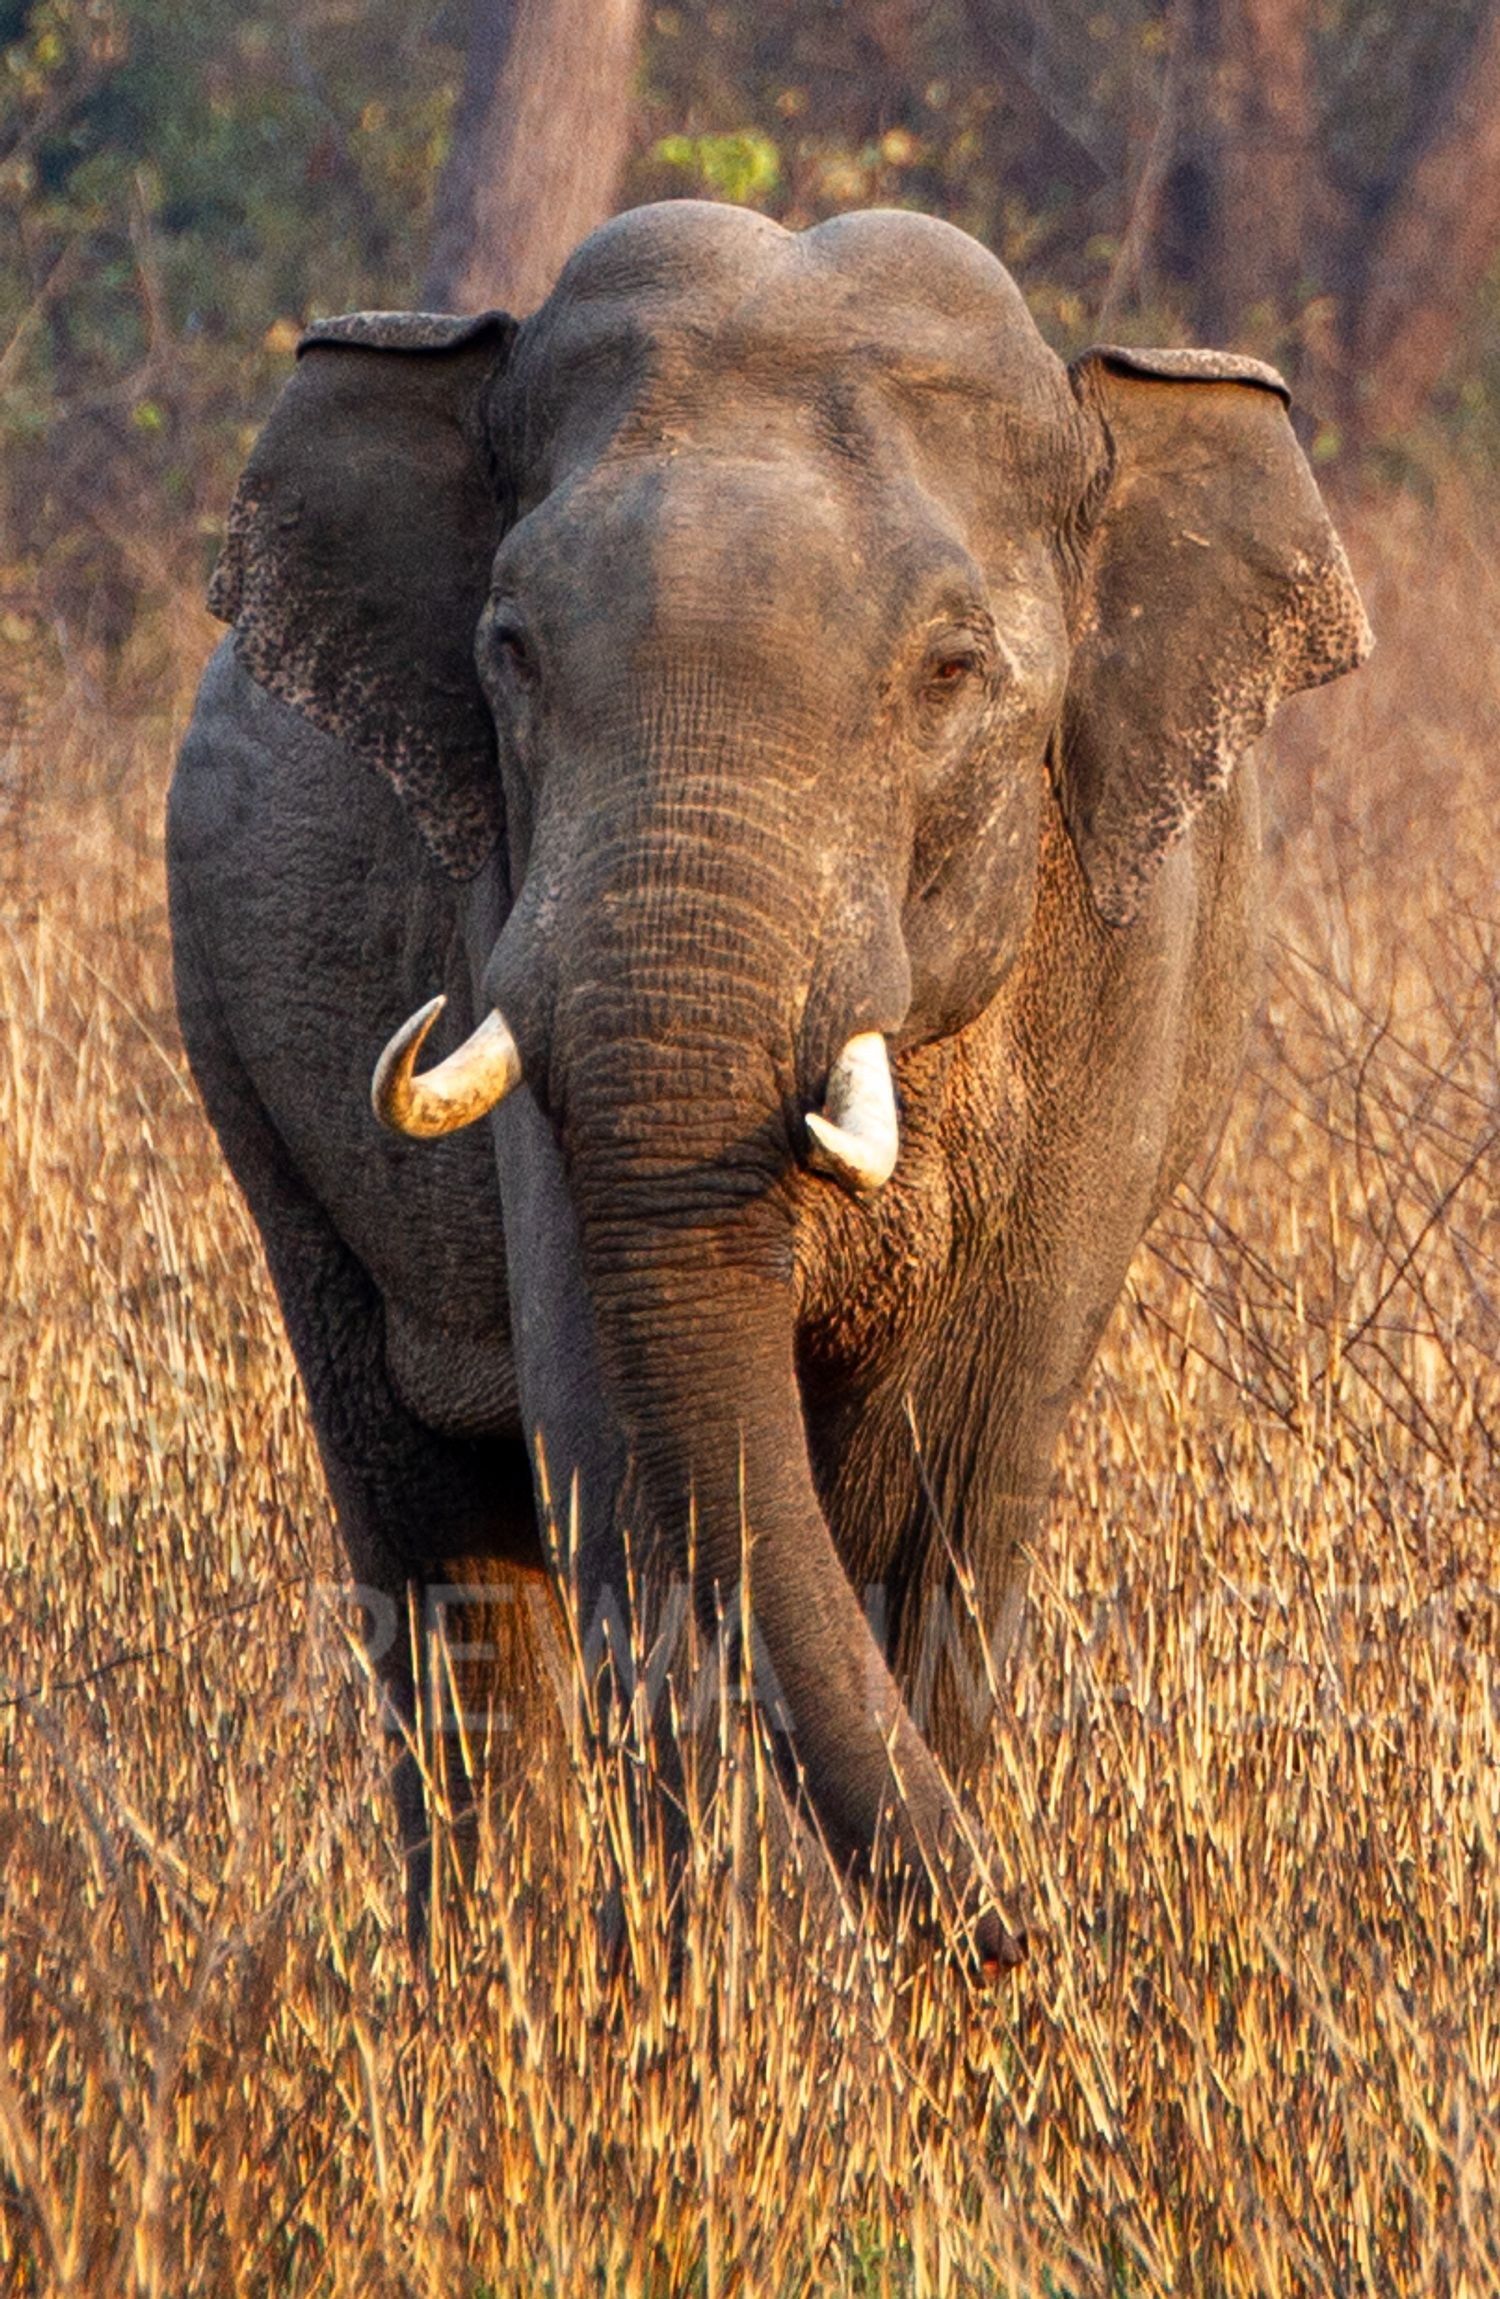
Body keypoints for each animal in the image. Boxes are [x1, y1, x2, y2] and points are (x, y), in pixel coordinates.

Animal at [167, 200, 1370, 1976]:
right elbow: (627, 1465)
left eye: (953, 669)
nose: (1057, 1939)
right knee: (425, 1533)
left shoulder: (1123, 970)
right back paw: (491, 1982)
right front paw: (715, 1991)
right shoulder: (511, 918)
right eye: (508, 651)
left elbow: (942, 1482)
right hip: (249, 1080)